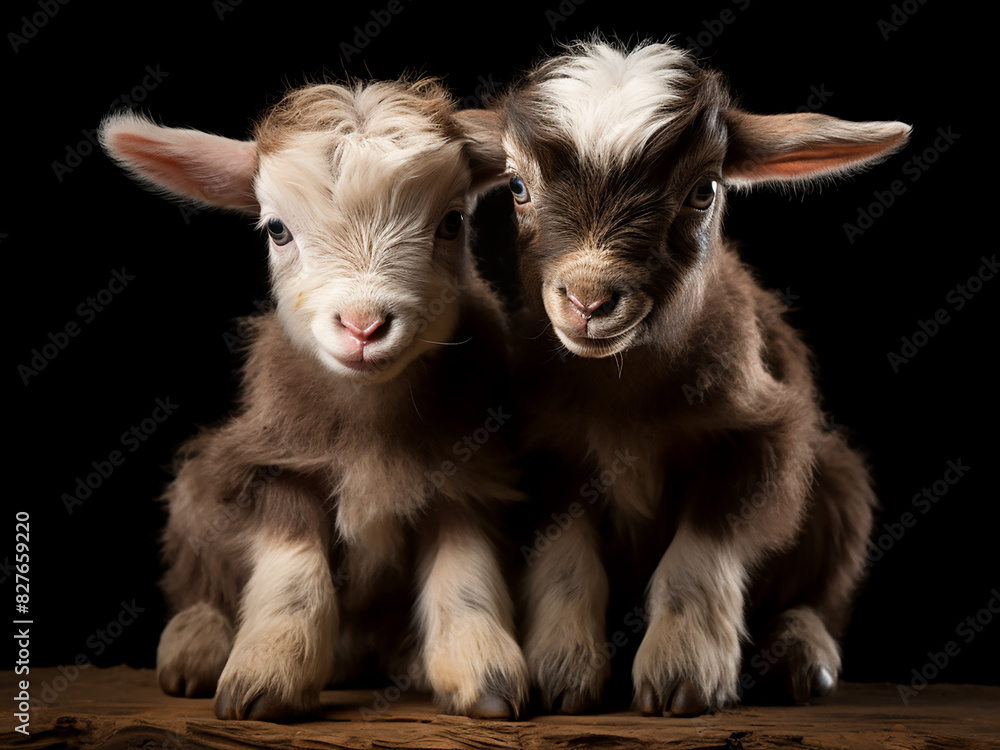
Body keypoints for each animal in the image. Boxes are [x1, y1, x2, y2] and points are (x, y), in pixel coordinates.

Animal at [99, 79, 527, 721]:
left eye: (452, 222)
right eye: (277, 230)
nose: (363, 325)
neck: (372, 422)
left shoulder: (468, 471)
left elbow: (466, 571)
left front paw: (485, 672)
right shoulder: (269, 460)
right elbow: (293, 562)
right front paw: (268, 672)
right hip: (198, 489)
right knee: (197, 573)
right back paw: (194, 645)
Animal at [488, 39, 910, 716]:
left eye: (703, 191)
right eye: (518, 184)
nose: (587, 299)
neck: (624, 390)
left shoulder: (764, 431)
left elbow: (702, 546)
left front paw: (683, 673)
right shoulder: (545, 450)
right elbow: (566, 560)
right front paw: (561, 668)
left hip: (841, 482)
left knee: (825, 589)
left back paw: (802, 654)